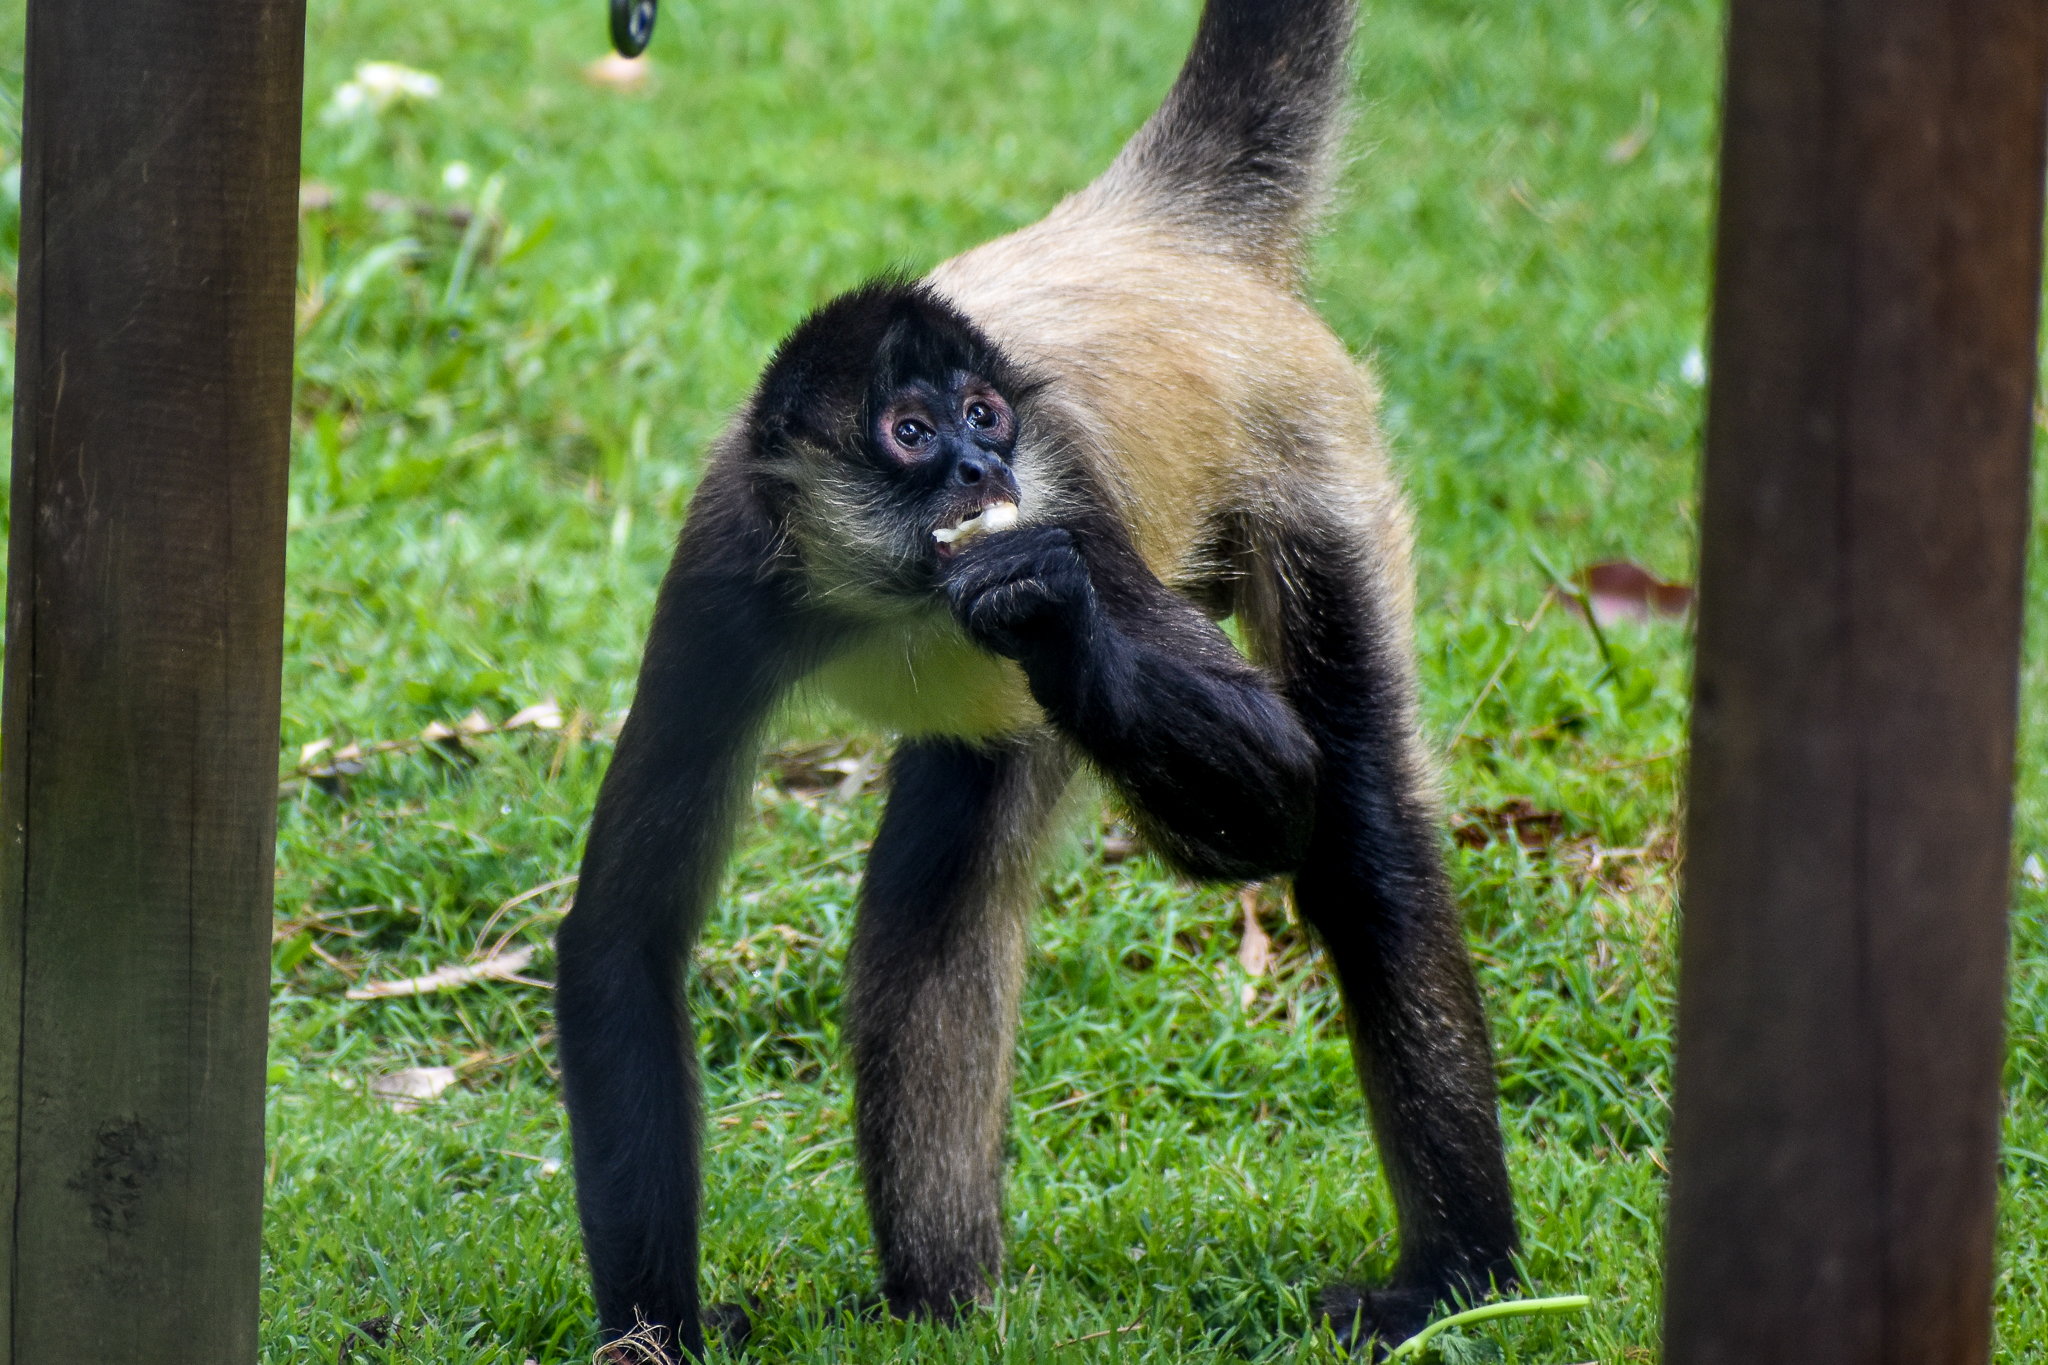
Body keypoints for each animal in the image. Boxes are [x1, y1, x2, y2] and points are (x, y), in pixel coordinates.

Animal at [552, 0, 1520, 1358]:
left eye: (982, 418)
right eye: (909, 434)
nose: (974, 469)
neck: (894, 595)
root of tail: (1148, 223)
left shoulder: (1071, 496)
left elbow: (1283, 796)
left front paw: (1055, 613)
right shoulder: (727, 562)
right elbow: (624, 934)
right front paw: (657, 1334)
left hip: (1310, 462)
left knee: (1357, 828)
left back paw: (1455, 1277)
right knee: (938, 894)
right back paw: (942, 1299)